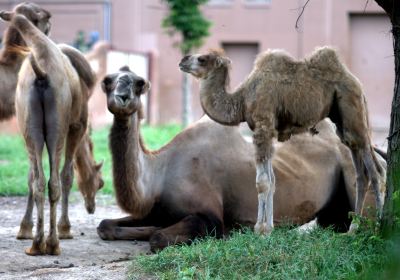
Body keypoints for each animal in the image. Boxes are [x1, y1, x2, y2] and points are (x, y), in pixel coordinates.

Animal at [0, 8, 93, 256]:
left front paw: (24, 229)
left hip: (31, 127)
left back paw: (37, 244)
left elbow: (32, 176)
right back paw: (53, 243)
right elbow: (68, 175)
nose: (91, 206)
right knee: (54, 180)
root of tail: (41, 75)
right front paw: (65, 228)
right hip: (58, 130)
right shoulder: (78, 125)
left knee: (41, 181)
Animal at [97, 67, 388, 252]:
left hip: (352, 171)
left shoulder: (208, 216)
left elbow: (158, 237)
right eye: (107, 81)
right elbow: (105, 226)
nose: (121, 97)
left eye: (139, 83)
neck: (160, 172)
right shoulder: (155, 209)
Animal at [180, 47, 386, 234]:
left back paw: (378, 226)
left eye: (202, 59)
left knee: (375, 171)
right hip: (341, 120)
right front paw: (268, 227)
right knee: (361, 172)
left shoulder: (263, 127)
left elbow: (263, 181)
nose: (182, 60)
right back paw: (353, 228)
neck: (243, 99)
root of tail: (356, 82)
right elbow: (271, 180)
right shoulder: (267, 132)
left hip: (352, 108)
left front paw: (260, 230)